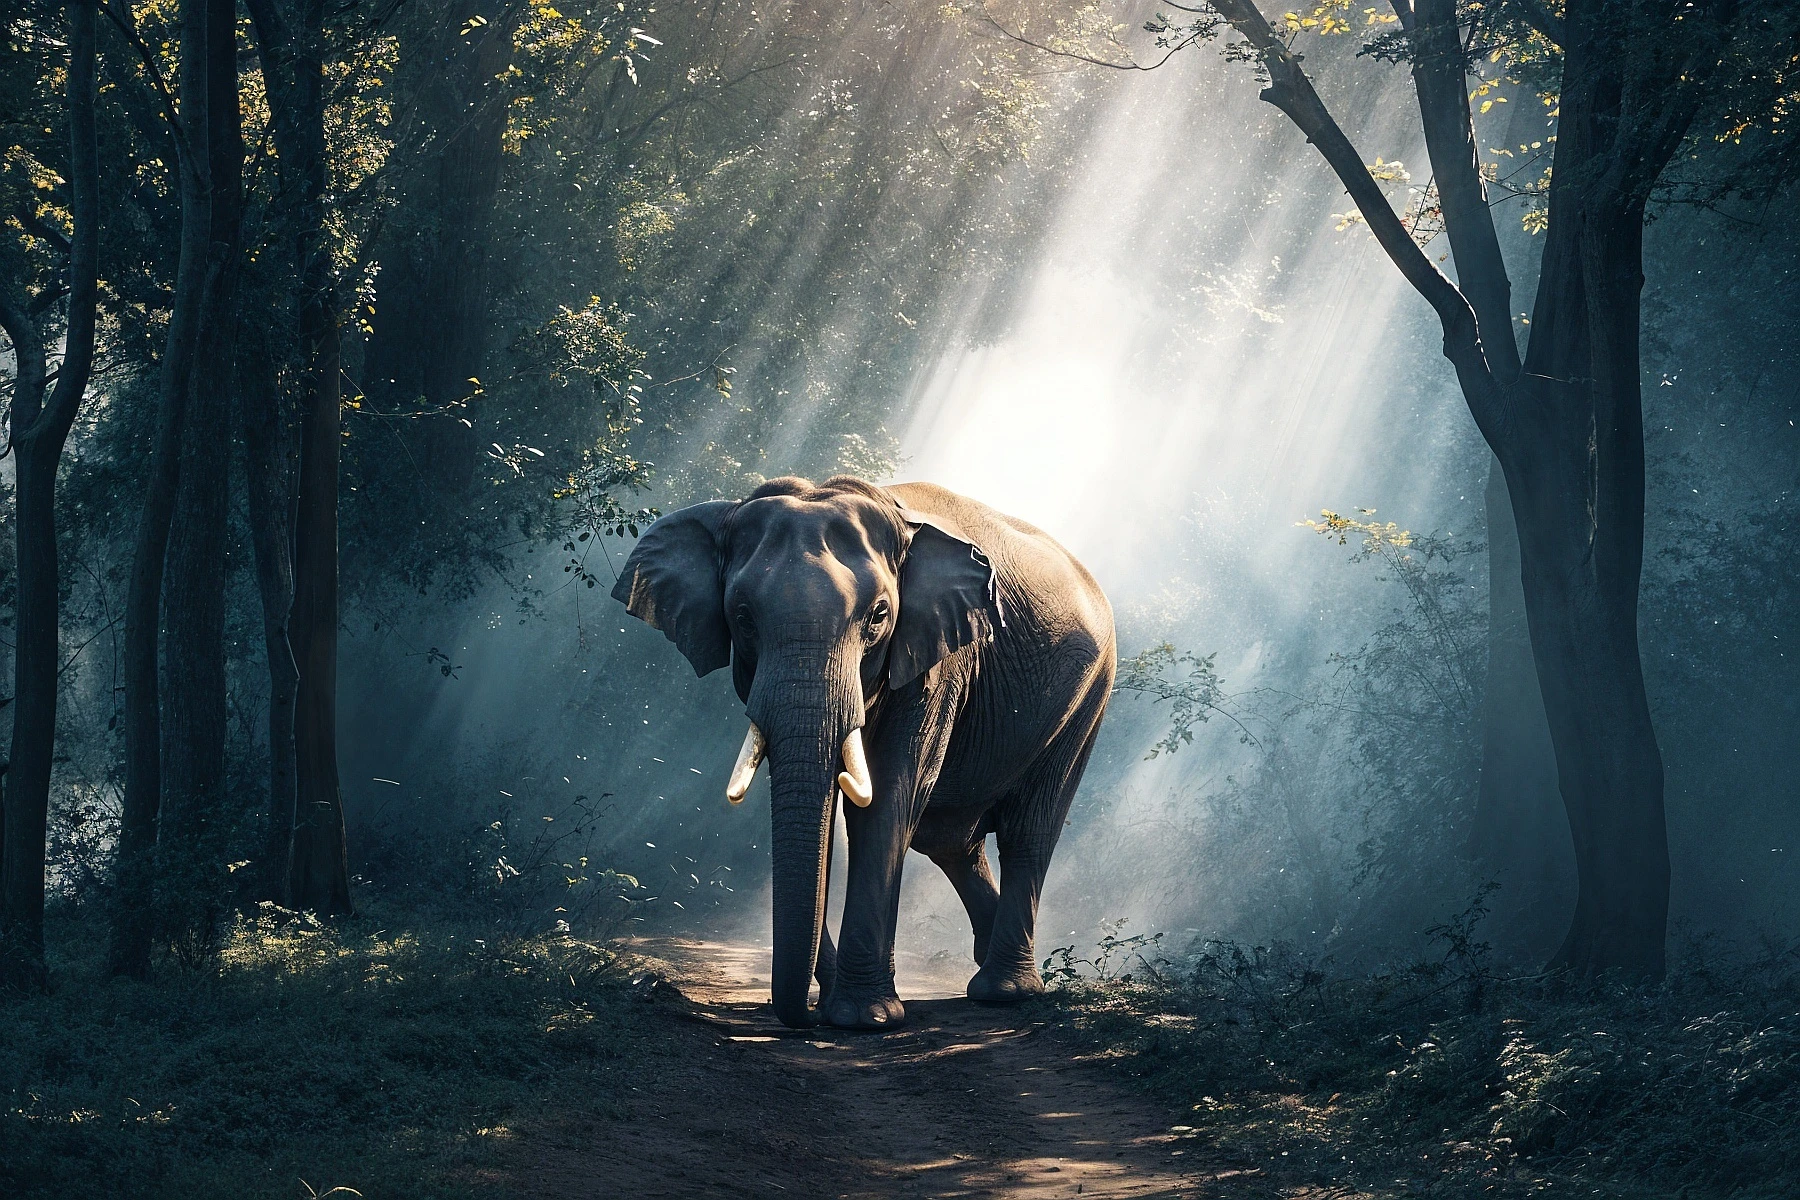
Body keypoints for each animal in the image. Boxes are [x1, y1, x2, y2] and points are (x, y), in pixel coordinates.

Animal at [611, 475, 1115, 1029]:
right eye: (742, 618)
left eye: (878, 617)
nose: (806, 1017)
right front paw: (839, 1006)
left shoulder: (937, 660)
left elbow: (888, 799)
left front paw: (861, 1019)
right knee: (949, 839)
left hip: (1090, 693)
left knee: (1029, 829)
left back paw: (1004, 991)